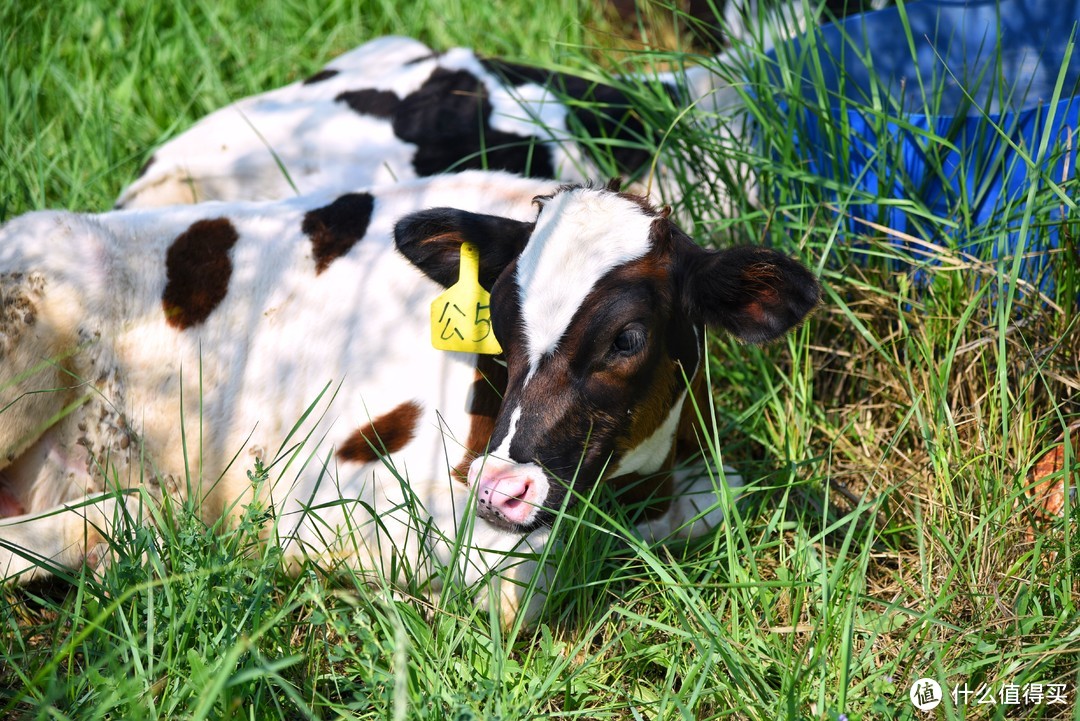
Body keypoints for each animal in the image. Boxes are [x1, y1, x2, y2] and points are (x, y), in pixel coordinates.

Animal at [0, 169, 816, 621]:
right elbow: (509, 586)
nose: (503, 489)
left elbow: (723, 495)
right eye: (500, 319)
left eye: (629, 338)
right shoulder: (320, 495)